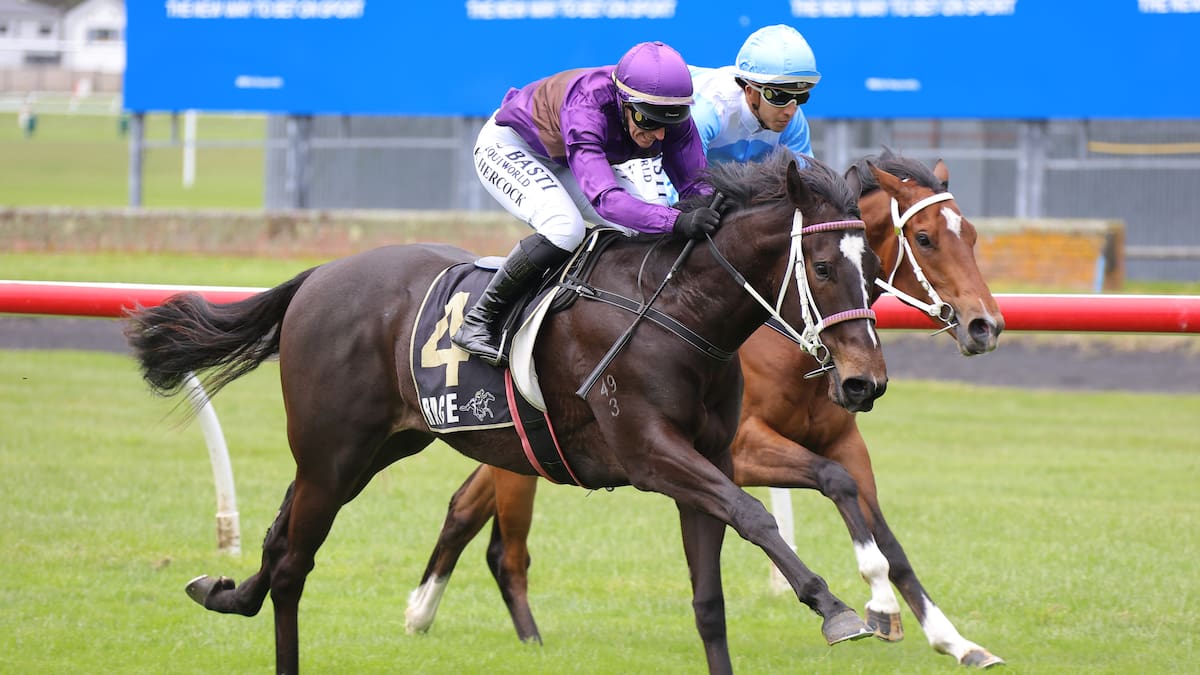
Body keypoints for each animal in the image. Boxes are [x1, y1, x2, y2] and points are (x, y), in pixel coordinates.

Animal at [124, 152, 889, 675]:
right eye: (823, 266)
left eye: (876, 270)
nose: (864, 382)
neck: (677, 310)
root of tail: (319, 276)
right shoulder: (650, 452)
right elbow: (755, 513)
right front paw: (836, 607)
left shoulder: (707, 458)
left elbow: (710, 599)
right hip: (332, 451)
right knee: (292, 566)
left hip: (368, 451)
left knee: (280, 538)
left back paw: (222, 590)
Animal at [404, 151, 1006, 668]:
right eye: (925, 239)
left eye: (972, 236)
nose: (986, 325)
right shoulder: (740, 451)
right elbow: (829, 482)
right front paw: (874, 602)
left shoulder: (841, 438)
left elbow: (880, 527)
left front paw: (953, 640)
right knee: (498, 536)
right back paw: (473, 621)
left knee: (466, 505)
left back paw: (425, 611)